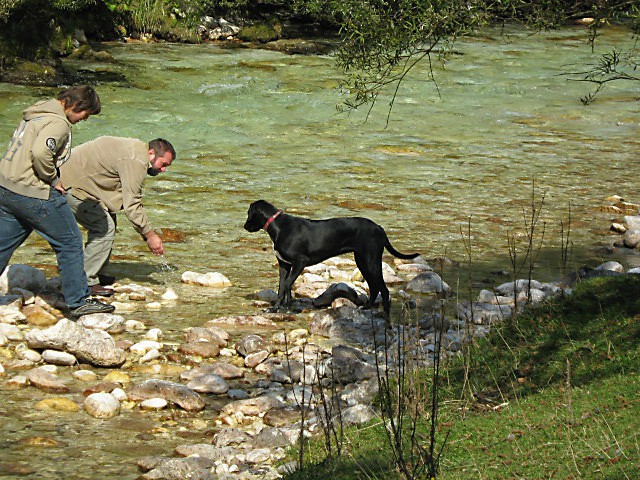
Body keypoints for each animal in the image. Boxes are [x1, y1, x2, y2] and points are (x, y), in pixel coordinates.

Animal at [242, 200, 418, 316]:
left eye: (249, 213)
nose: (244, 226)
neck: (278, 226)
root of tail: (379, 228)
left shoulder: (300, 262)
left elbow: (286, 286)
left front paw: (283, 308)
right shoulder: (285, 265)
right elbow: (282, 288)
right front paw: (279, 308)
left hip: (371, 261)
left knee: (384, 289)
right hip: (362, 261)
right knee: (374, 287)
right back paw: (366, 307)